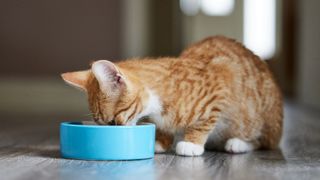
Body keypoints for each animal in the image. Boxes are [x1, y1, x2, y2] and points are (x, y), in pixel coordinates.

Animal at [61, 35, 282, 156]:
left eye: (113, 122)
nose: (113, 131)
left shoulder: (221, 82)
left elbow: (203, 122)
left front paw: (192, 143)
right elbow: (163, 128)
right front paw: (160, 141)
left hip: (256, 120)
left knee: (263, 141)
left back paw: (238, 143)